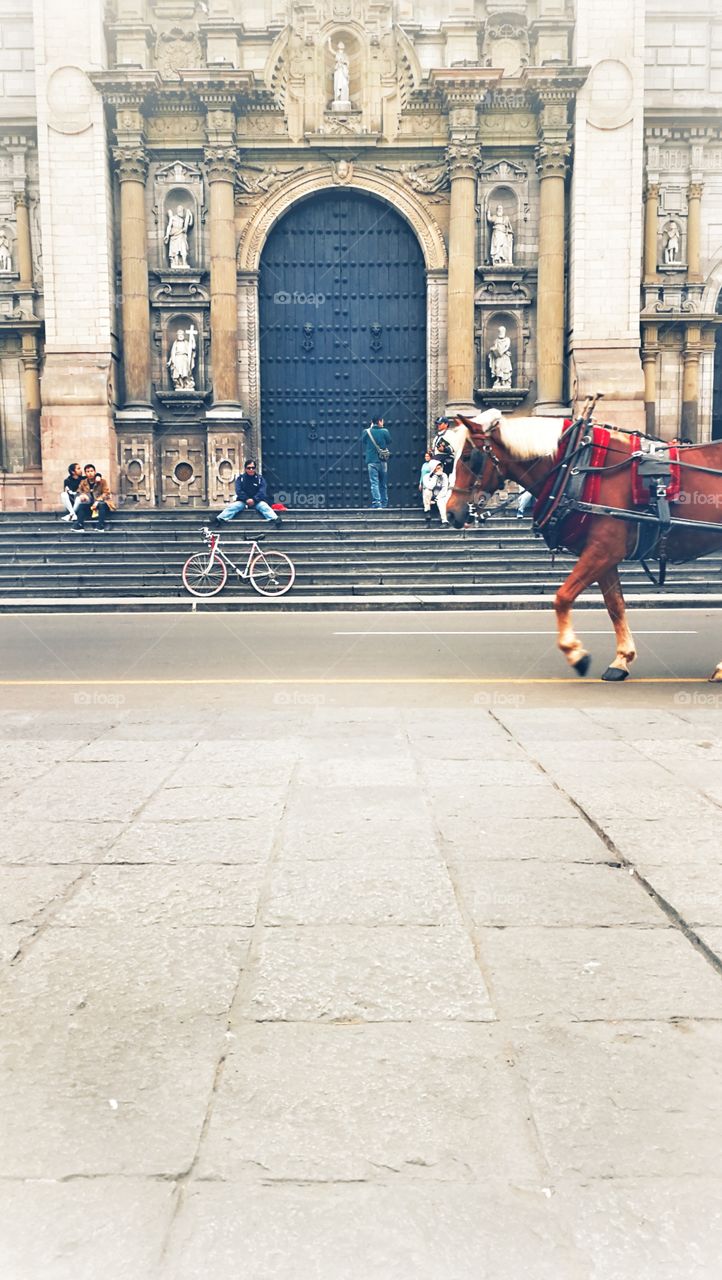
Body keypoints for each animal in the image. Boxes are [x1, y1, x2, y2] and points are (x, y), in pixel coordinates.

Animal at [442, 409, 722, 686]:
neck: (574, 467)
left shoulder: (604, 550)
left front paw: (575, 653)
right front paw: (621, 660)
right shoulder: (603, 554)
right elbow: (615, 606)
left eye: (468, 457)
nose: (452, 512)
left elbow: (562, 597)